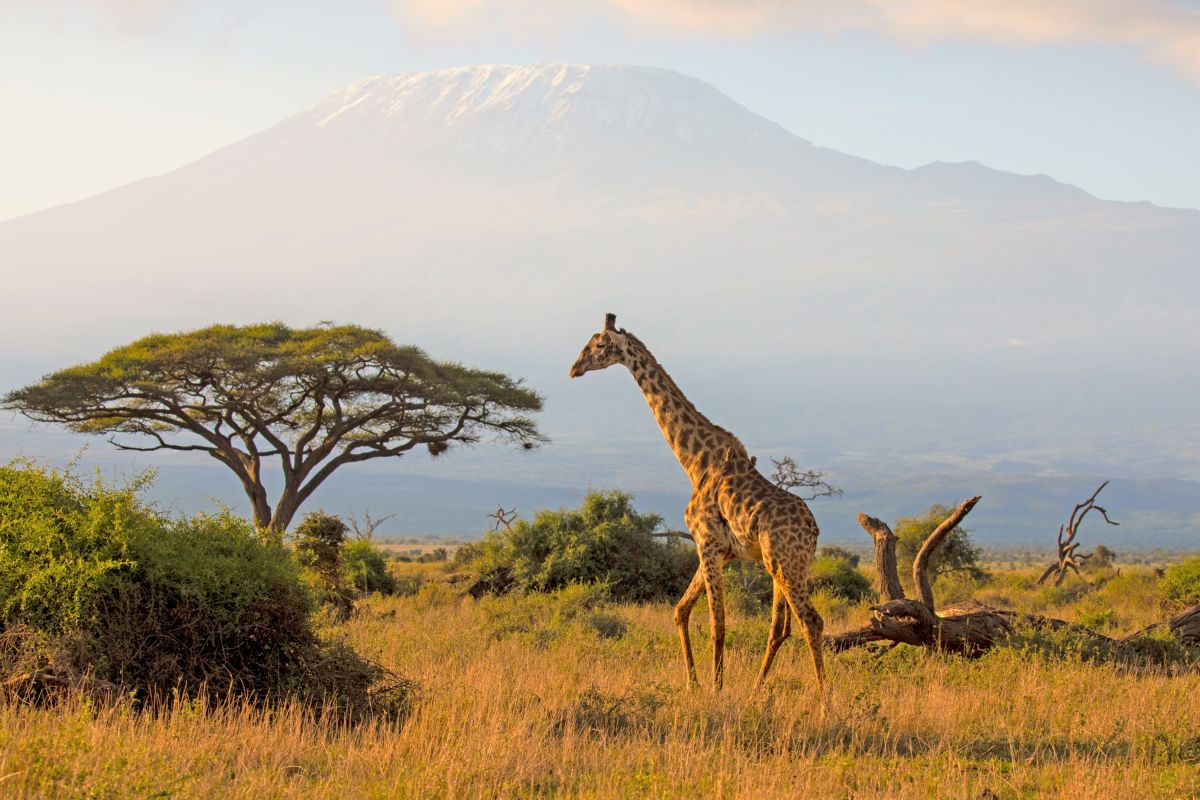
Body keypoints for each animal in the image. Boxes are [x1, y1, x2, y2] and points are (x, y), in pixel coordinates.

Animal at [569, 313, 825, 694]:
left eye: (599, 344)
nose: (574, 368)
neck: (695, 462)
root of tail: (813, 531)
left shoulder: (707, 543)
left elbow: (718, 624)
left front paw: (716, 691)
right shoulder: (719, 551)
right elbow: (680, 610)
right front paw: (694, 684)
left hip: (785, 564)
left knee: (812, 622)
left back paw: (826, 700)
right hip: (785, 565)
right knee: (781, 628)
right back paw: (756, 690)